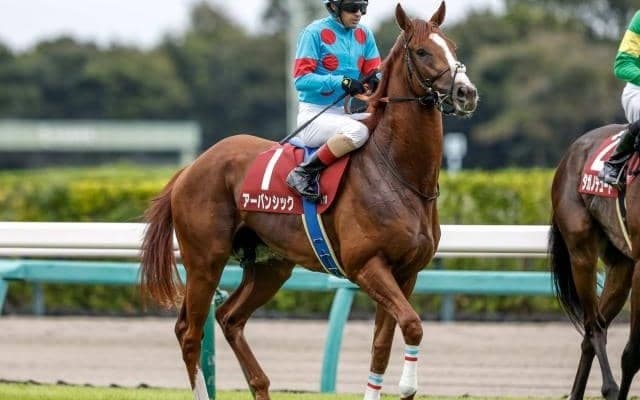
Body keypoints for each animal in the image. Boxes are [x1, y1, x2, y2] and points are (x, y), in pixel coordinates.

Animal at [140, 2, 478, 399]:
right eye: (423, 52)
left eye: (452, 46)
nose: (466, 93)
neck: (400, 174)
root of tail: (191, 168)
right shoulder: (366, 266)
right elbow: (412, 324)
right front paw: (409, 386)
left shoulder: (406, 272)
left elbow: (382, 344)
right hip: (205, 261)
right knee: (190, 332)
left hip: (272, 266)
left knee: (229, 318)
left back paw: (261, 385)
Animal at [550, 123, 640, 399]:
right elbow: (633, 354)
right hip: (581, 254)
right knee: (594, 327)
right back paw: (609, 388)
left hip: (621, 265)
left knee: (591, 334)